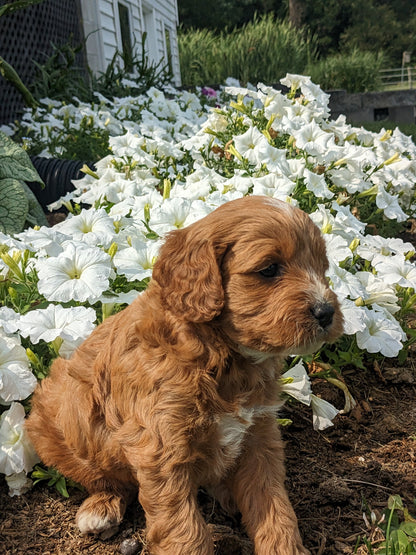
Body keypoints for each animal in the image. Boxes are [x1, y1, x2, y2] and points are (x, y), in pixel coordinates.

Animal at [27, 197, 342, 555]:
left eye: (322, 268)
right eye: (269, 270)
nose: (326, 312)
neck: (221, 355)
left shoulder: (260, 435)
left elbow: (274, 507)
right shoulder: (161, 447)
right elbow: (185, 529)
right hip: (58, 420)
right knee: (106, 479)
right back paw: (100, 508)